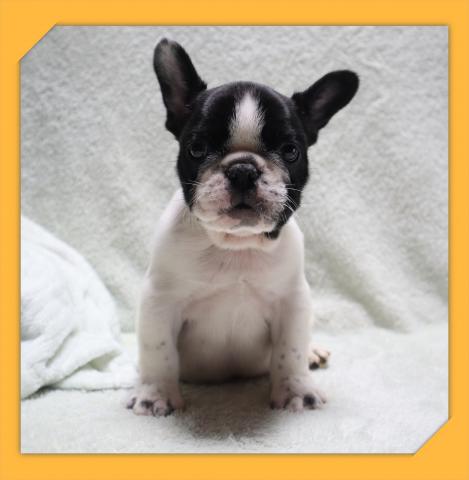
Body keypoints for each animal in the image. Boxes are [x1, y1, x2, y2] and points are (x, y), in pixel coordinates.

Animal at [127, 39, 359, 416]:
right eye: (197, 148)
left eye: (291, 151)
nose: (243, 170)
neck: (236, 244)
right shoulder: (159, 300)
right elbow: (158, 352)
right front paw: (155, 394)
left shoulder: (293, 301)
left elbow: (290, 350)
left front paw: (296, 390)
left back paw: (313, 353)